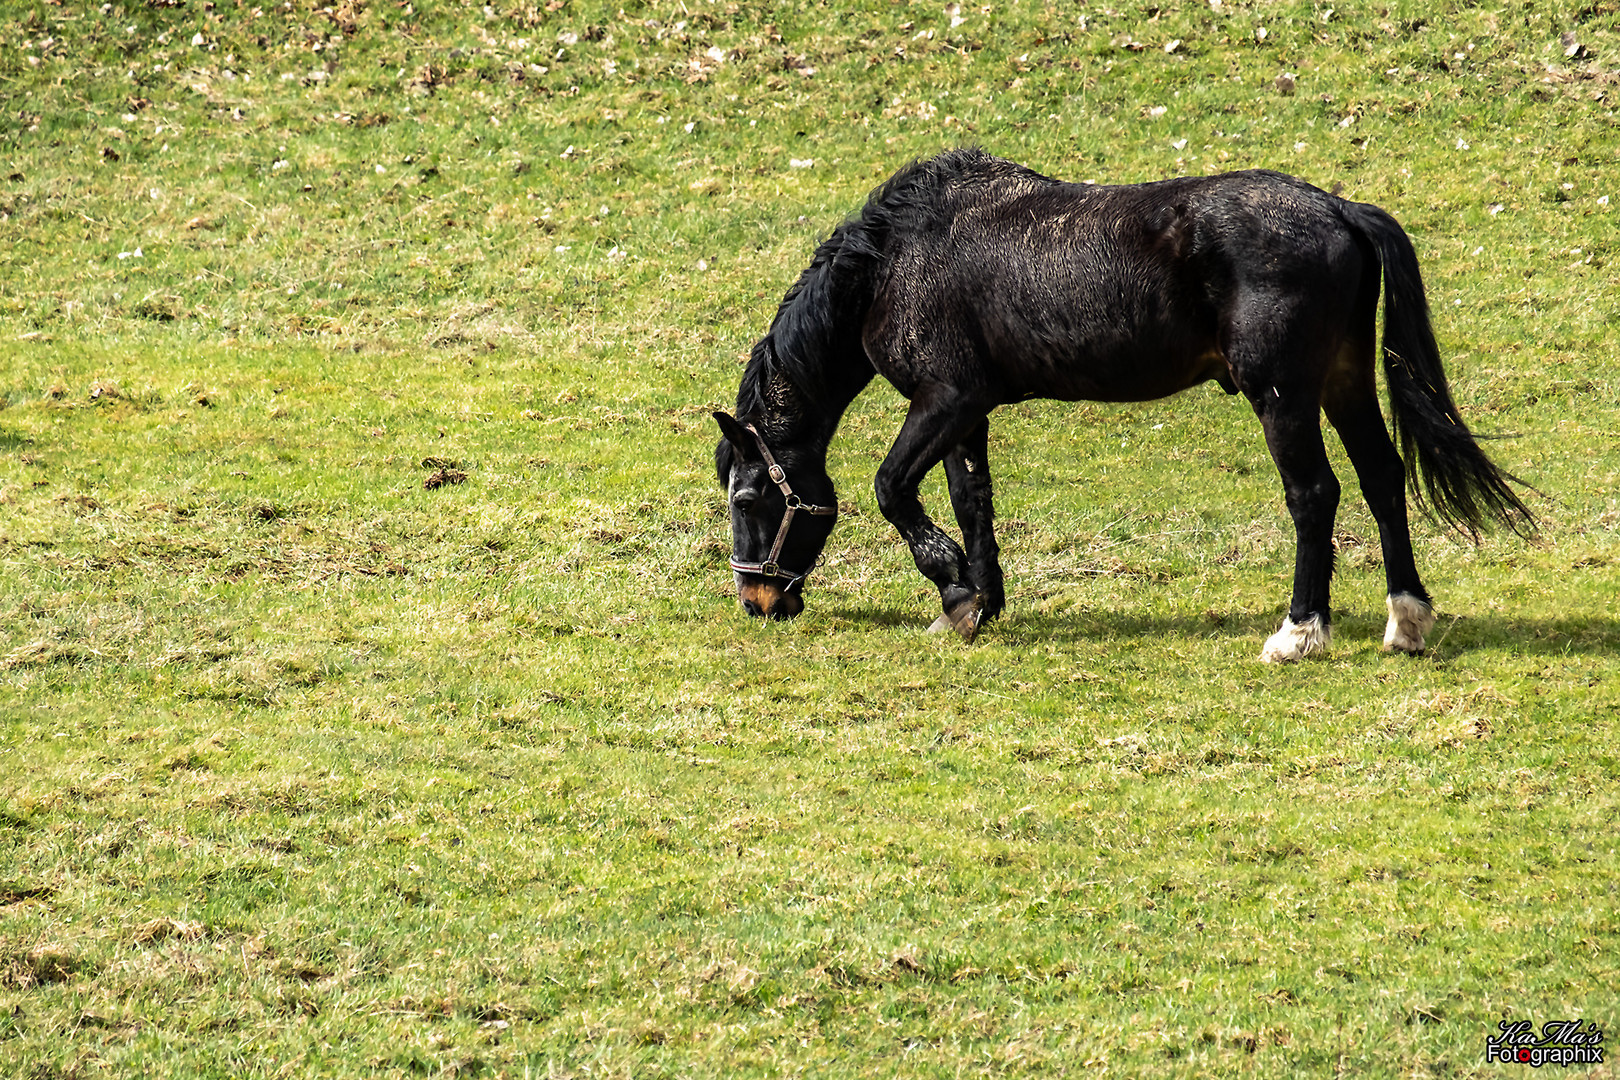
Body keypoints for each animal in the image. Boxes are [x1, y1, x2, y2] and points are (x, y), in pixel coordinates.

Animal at [716, 148, 1535, 663]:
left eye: (750, 498)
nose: (756, 599)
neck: (894, 262)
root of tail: (1339, 209)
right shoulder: (967, 410)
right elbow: (971, 499)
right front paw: (977, 602)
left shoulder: (942, 399)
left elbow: (893, 489)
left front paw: (953, 588)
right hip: (1343, 383)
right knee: (1383, 480)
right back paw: (1407, 620)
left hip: (1284, 396)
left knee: (1315, 495)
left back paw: (1299, 634)